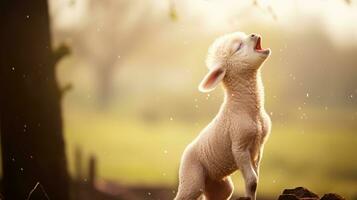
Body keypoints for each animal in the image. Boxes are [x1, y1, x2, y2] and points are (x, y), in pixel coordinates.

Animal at [174, 31, 272, 200]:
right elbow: (252, 180)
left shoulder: (259, 147)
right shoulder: (239, 146)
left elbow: (255, 181)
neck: (252, 112)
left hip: (219, 186)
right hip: (192, 178)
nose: (253, 34)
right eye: (238, 47)